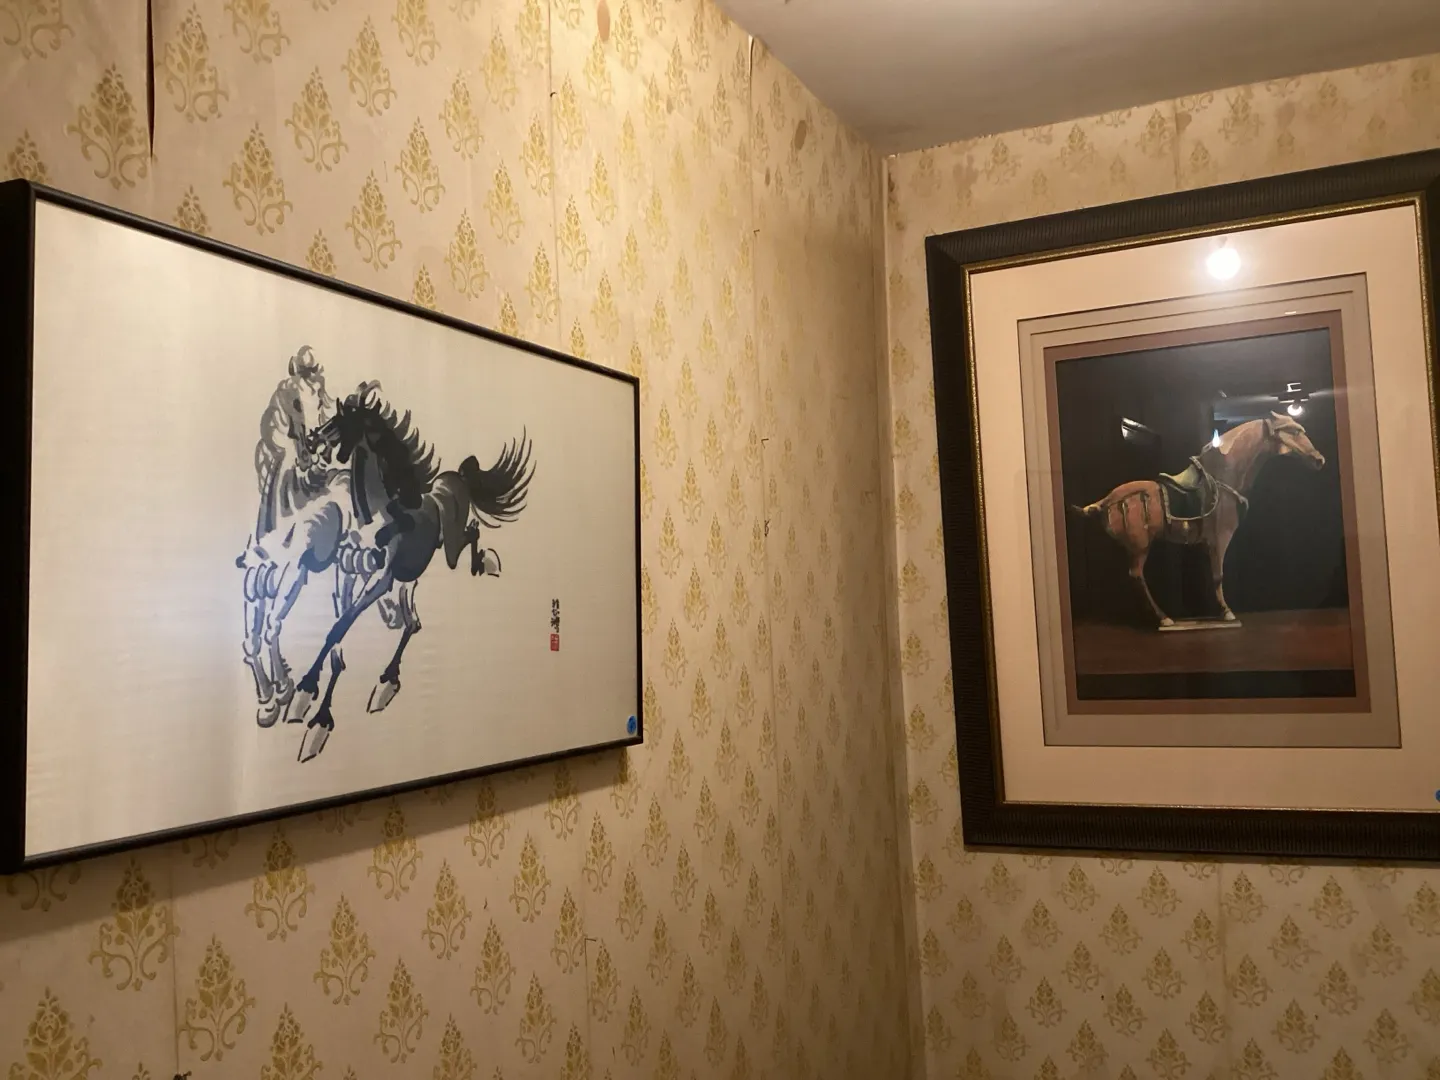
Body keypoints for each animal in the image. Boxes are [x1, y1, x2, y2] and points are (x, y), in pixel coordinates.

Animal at [1069, 411, 1325, 628]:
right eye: (1294, 431)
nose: (1319, 459)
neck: (1222, 476)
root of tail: (1105, 502)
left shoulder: (1208, 543)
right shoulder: (1220, 538)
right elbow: (1218, 576)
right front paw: (1227, 612)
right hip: (1140, 547)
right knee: (1137, 576)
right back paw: (1164, 618)